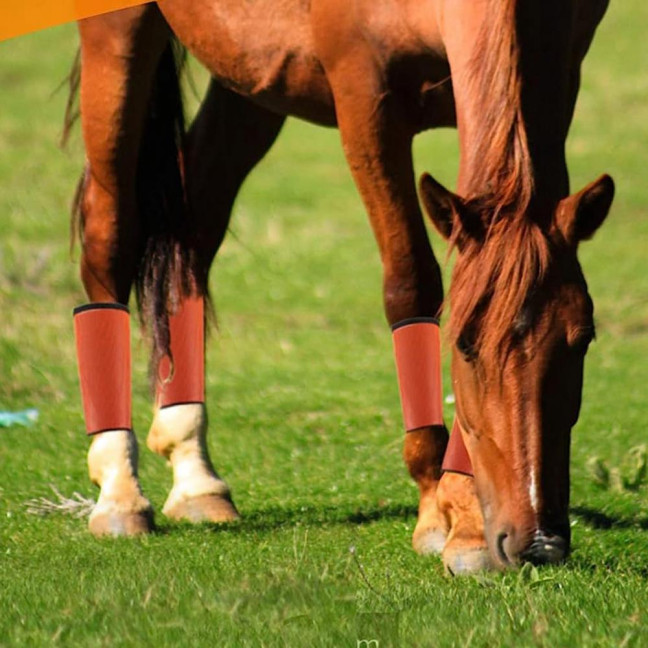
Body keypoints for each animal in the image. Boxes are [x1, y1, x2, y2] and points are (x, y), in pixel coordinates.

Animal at [68, 0, 613, 572]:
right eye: (463, 346)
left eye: (583, 340)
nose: (539, 543)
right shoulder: (365, 102)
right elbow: (411, 284)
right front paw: (447, 512)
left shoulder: (558, 75)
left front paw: (462, 518)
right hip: (118, 38)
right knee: (109, 235)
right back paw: (119, 493)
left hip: (249, 76)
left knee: (193, 229)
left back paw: (195, 476)